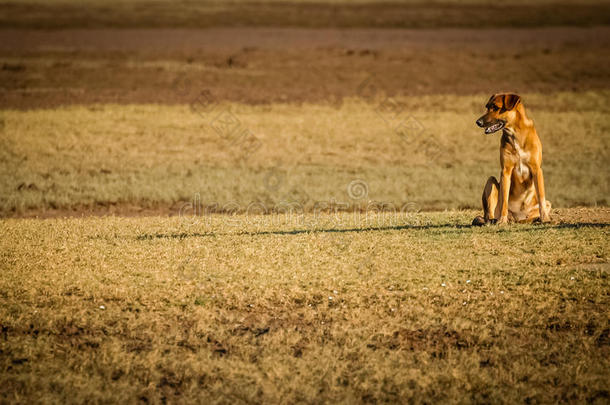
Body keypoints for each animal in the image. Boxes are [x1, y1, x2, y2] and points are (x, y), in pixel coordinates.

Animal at [470, 94, 552, 227]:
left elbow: (541, 197)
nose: (478, 122)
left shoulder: (536, 170)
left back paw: (535, 219)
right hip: (490, 182)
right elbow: (504, 200)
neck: (516, 134)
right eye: (487, 107)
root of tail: (517, 217)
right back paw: (495, 220)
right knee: (488, 215)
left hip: (547, 203)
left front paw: (545, 219)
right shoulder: (505, 171)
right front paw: (502, 221)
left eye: (495, 107)